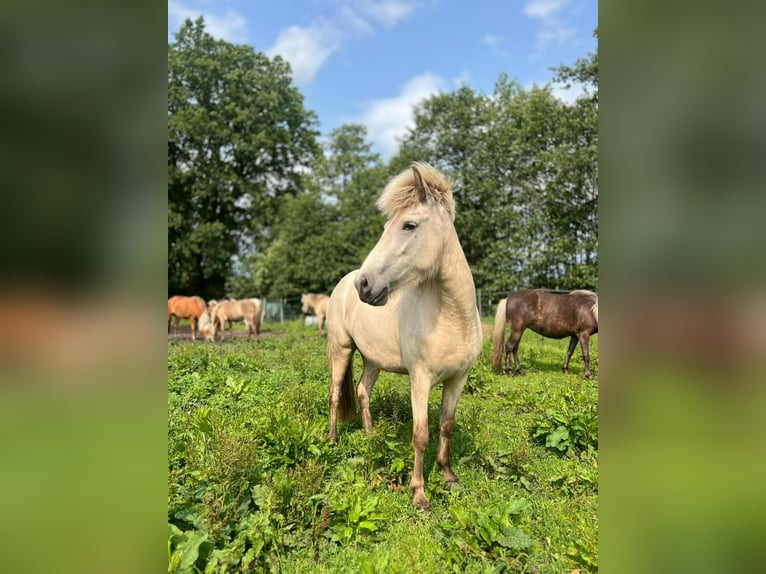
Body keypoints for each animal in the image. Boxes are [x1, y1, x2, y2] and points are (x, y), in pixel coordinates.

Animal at [327, 162, 483, 510]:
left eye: (409, 225)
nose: (365, 285)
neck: (452, 317)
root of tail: (342, 283)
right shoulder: (420, 379)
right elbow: (420, 434)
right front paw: (419, 493)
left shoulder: (458, 379)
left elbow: (446, 426)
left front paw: (449, 477)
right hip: (341, 350)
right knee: (334, 395)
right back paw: (331, 441)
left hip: (372, 360)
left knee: (362, 391)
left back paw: (370, 437)